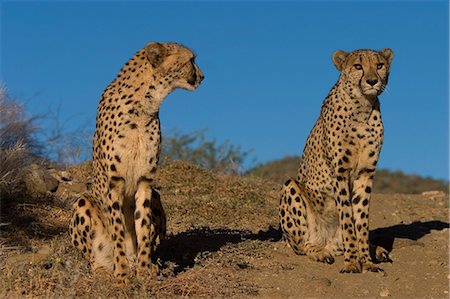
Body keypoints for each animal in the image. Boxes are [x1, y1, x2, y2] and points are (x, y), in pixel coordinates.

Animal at [69, 42, 205, 284]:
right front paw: (123, 273)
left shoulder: (145, 182)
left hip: (157, 196)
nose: (202, 76)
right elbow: (117, 229)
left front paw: (143, 270)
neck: (143, 106)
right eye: (191, 60)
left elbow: (142, 225)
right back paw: (105, 270)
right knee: (94, 258)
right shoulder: (114, 183)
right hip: (83, 202)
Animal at [280, 48, 396, 274]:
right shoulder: (340, 173)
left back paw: (377, 250)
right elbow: (348, 220)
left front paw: (366, 261)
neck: (362, 107)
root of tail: (330, 243)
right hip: (291, 187)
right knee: (301, 246)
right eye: (358, 66)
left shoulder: (365, 174)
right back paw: (320, 252)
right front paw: (352, 262)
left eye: (379, 65)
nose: (372, 81)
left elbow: (361, 221)